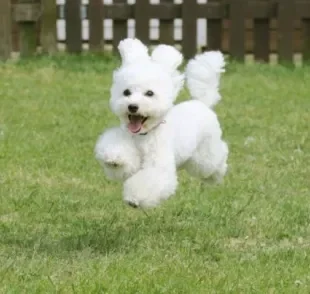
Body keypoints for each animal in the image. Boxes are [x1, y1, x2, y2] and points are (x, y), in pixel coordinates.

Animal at [94, 39, 228, 208]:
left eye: (149, 93)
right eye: (126, 92)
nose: (132, 106)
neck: (143, 135)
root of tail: (202, 103)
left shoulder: (157, 163)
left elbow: (152, 178)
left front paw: (134, 199)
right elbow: (122, 158)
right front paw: (114, 160)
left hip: (204, 155)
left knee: (216, 160)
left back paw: (216, 175)